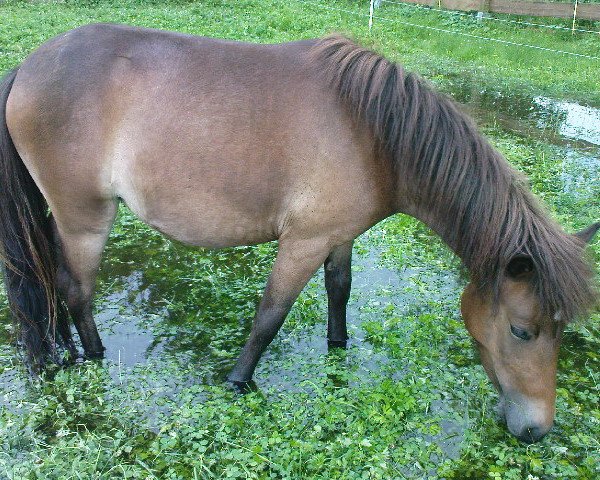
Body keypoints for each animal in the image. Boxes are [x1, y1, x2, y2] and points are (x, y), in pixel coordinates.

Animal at [1, 23, 600, 442]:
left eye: (562, 331)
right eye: (522, 331)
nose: (537, 430)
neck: (373, 134)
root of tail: (27, 67)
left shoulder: (340, 236)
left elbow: (340, 291)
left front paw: (338, 347)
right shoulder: (304, 241)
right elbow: (271, 315)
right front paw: (238, 381)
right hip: (86, 221)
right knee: (75, 290)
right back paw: (92, 357)